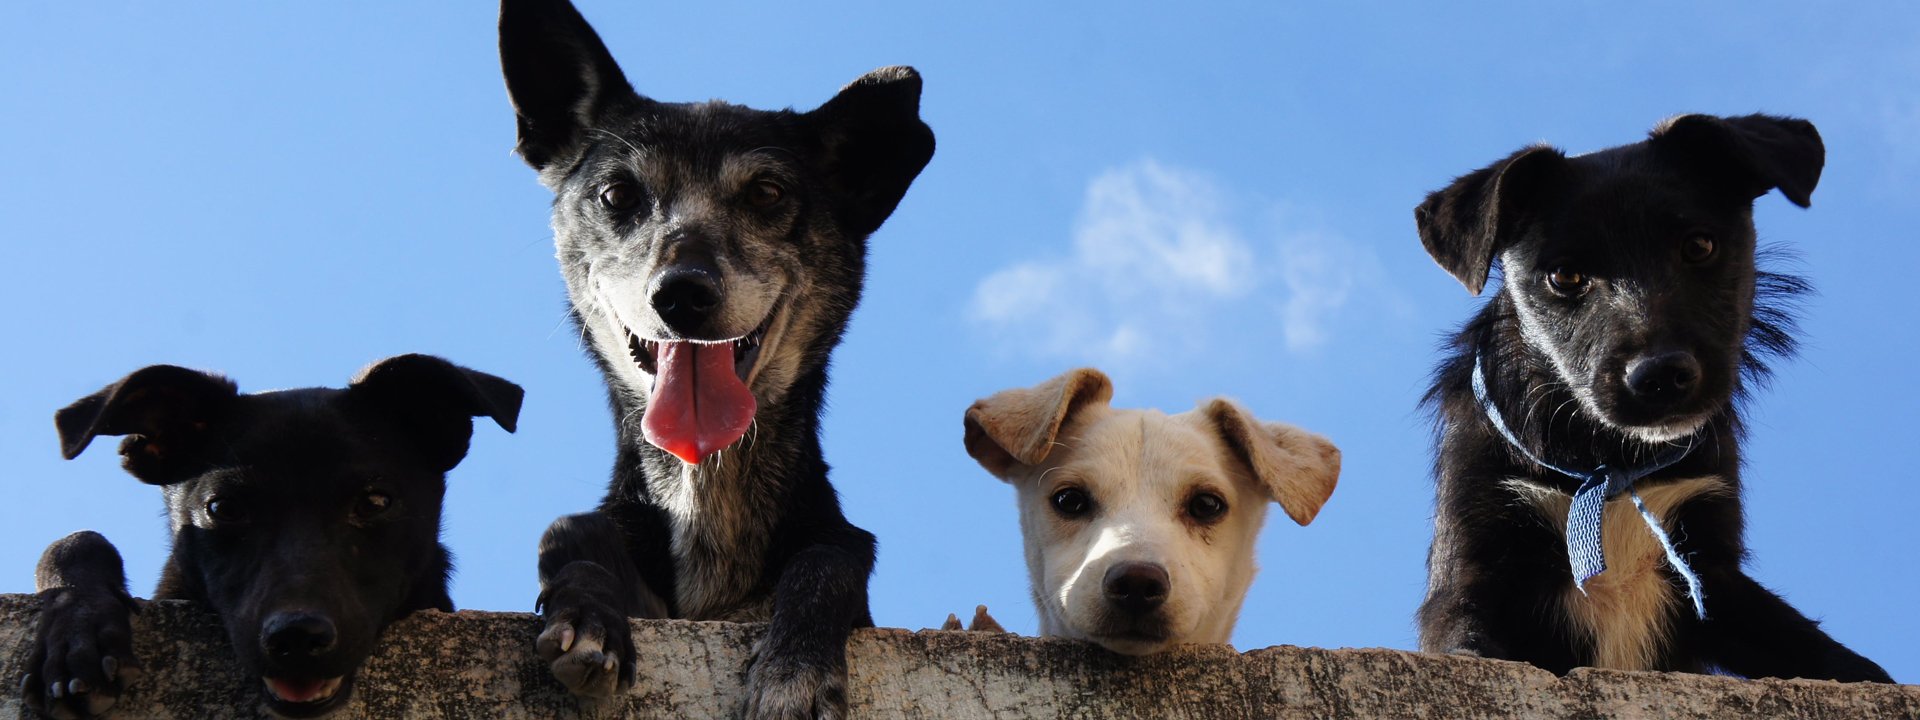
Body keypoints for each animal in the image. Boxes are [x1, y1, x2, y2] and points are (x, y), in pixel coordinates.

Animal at [499, 0, 933, 718]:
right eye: (618, 195)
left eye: (766, 194)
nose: (682, 293)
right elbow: (566, 531)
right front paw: (589, 616)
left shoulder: (837, 556)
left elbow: (830, 560)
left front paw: (794, 673)